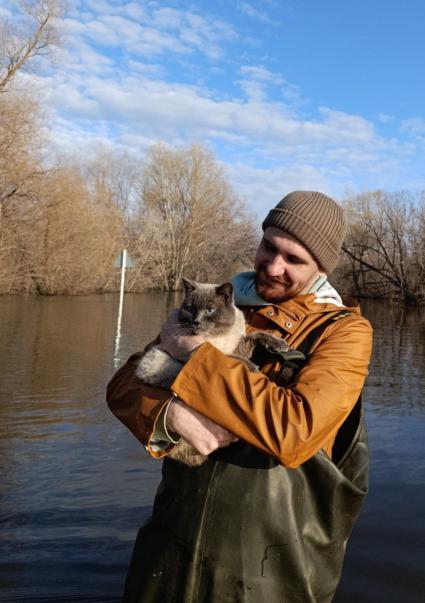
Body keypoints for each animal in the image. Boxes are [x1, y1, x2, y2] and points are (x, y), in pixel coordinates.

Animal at [137, 278, 302, 468]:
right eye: (190, 308)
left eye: (210, 310)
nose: (196, 321)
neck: (218, 336)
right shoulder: (198, 352)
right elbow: (225, 356)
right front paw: (253, 367)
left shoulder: (239, 346)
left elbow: (255, 336)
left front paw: (281, 345)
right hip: (159, 364)